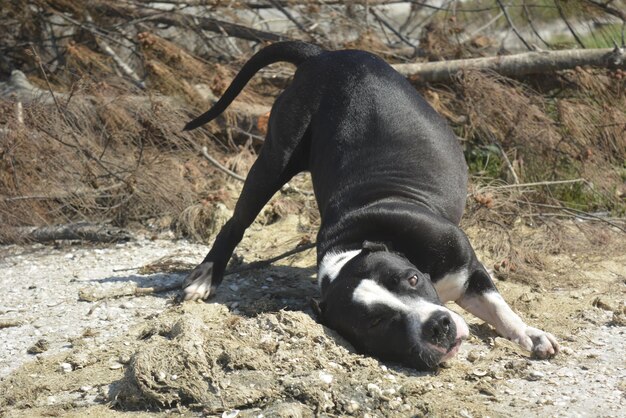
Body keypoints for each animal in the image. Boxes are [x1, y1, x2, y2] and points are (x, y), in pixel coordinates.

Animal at [179, 41, 556, 370]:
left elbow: (499, 307)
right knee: (235, 222)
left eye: (412, 279)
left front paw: (530, 335)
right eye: (376, 322)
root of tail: (321, 56)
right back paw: (207, 275)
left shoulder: (471, 270)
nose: (438, 325)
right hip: (274, 159)